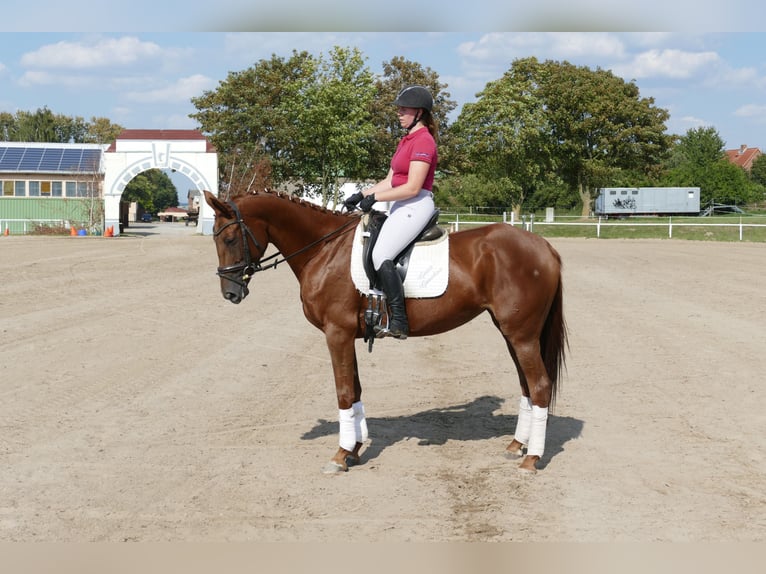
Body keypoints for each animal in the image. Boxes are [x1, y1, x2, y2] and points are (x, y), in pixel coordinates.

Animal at [204, 191, 568, 474]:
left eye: (230, 238)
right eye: (215, 238)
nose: (230, 293)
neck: (325, 249)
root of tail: (545, 247)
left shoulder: (336, 333)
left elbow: (344, 392)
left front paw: (340, 455)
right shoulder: (347, 335)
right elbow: (356, 390)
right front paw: (354, 448)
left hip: (521, 336)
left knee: (539, 385)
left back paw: (532, 458)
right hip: (513, 334)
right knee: (526, 386)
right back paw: (517, 445)